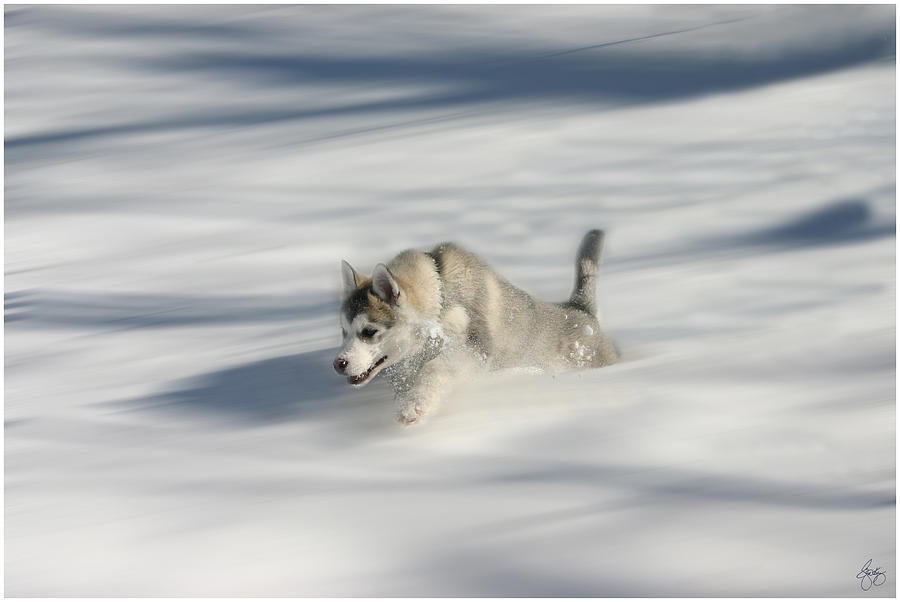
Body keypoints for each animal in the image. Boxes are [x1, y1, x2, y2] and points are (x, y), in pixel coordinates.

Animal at [334, 229, 616, 422]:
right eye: (344, 332)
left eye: (369, 332)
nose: (339, 364)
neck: (439, 295)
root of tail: (580, 309)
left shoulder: (476, 349)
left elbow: (435, 368)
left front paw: (414, 406)